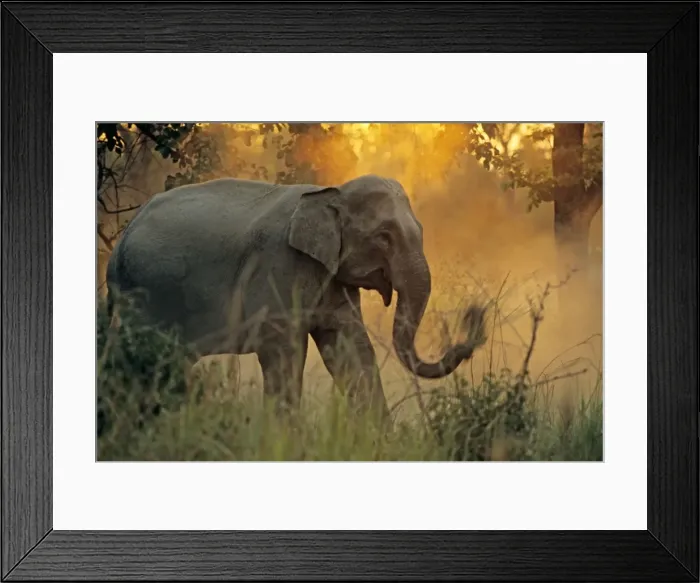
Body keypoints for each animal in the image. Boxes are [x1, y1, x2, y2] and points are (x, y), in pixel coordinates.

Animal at [105, 174, 487, 423]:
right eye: (384, 237)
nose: (474, 317)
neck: (330, 193)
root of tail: (119, 246)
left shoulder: (331, 277)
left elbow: (351, 348)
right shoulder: (279, 264)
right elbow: (282, 349)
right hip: (143, 294)